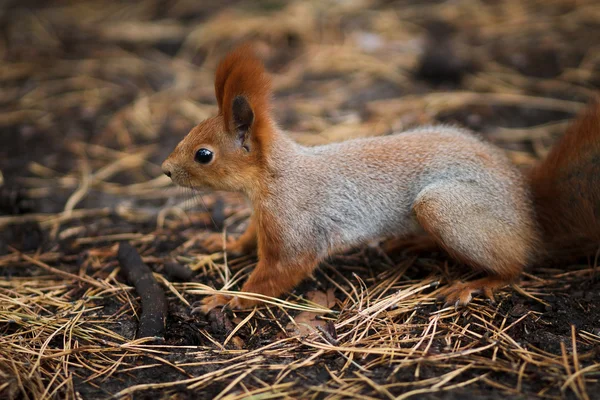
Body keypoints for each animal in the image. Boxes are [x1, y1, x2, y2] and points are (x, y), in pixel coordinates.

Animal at [162, 43, 600, 312]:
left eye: (204, 155)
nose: (165, 169)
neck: (274, 178)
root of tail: (528, 209)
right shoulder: (263, 217)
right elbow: (249, 239)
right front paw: (220, 243)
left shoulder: (296, 226)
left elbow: (277, 273)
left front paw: (228, 299)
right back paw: (412, 244)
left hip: (444, 206)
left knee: (518, 263)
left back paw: (477, 283)